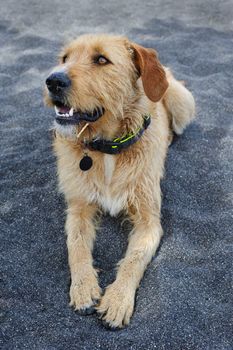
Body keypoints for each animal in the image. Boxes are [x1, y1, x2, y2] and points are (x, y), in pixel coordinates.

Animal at [43, 32, 195, 328]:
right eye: (64, 58)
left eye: (102, 59)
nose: (53, 80)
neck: (107, 149)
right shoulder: (78, 207)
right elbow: (75, 245)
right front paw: (83, 287)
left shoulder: (149, 222)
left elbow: (133, 260)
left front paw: (117, 300)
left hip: (181, 102)